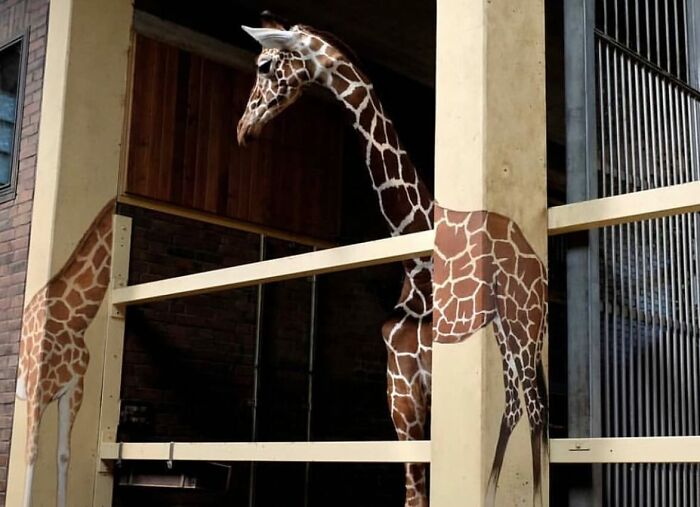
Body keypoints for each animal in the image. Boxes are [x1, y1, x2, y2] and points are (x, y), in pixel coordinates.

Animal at [236, 14, 548, 507]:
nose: (243, 129)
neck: (417, 266)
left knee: (532, 408)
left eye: (265, 65)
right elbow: (414, 494)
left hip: (522, 335)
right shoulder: (401, 391)